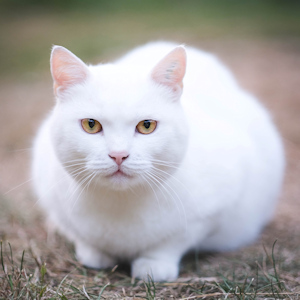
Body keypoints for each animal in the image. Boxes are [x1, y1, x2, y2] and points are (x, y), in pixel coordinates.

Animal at [31, 41, 284, 282]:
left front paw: (154, 265)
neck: (120, 205)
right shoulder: (53, 200)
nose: (119, 155)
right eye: (90, 124)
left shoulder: (211, 211)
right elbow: (80, 236)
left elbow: (172, 242)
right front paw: (93, 254)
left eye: (147, 125)